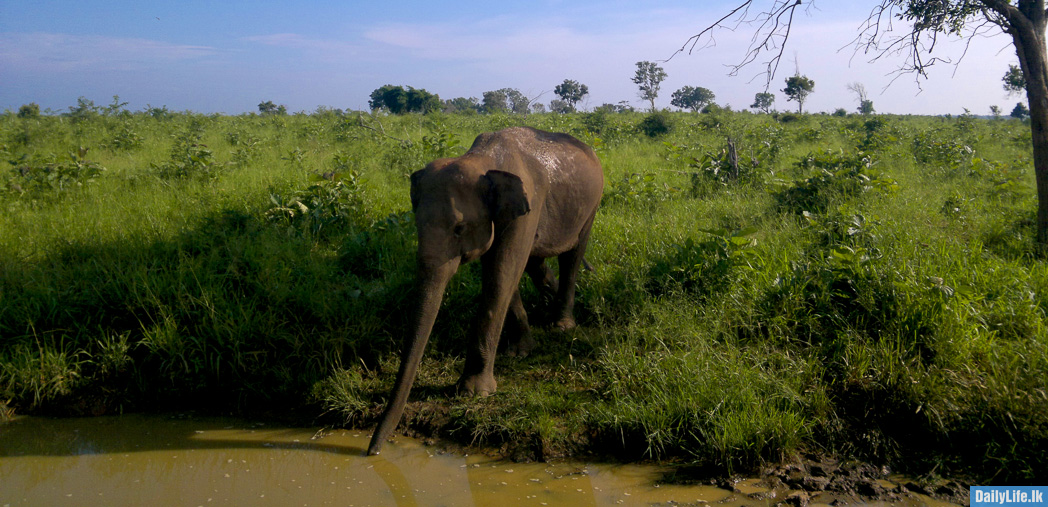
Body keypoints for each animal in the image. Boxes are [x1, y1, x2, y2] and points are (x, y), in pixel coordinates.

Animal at [364, 125, 603, 454]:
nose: (372, 451)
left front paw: (475, 393)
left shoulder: (527, 207)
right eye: (416, 225)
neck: (481, 159)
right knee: (536, 261)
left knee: (572, 255)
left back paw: (562, 325)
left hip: (591, 203)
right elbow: (503, 271)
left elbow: (502, 272)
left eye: (459, 229)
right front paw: (519, 352)